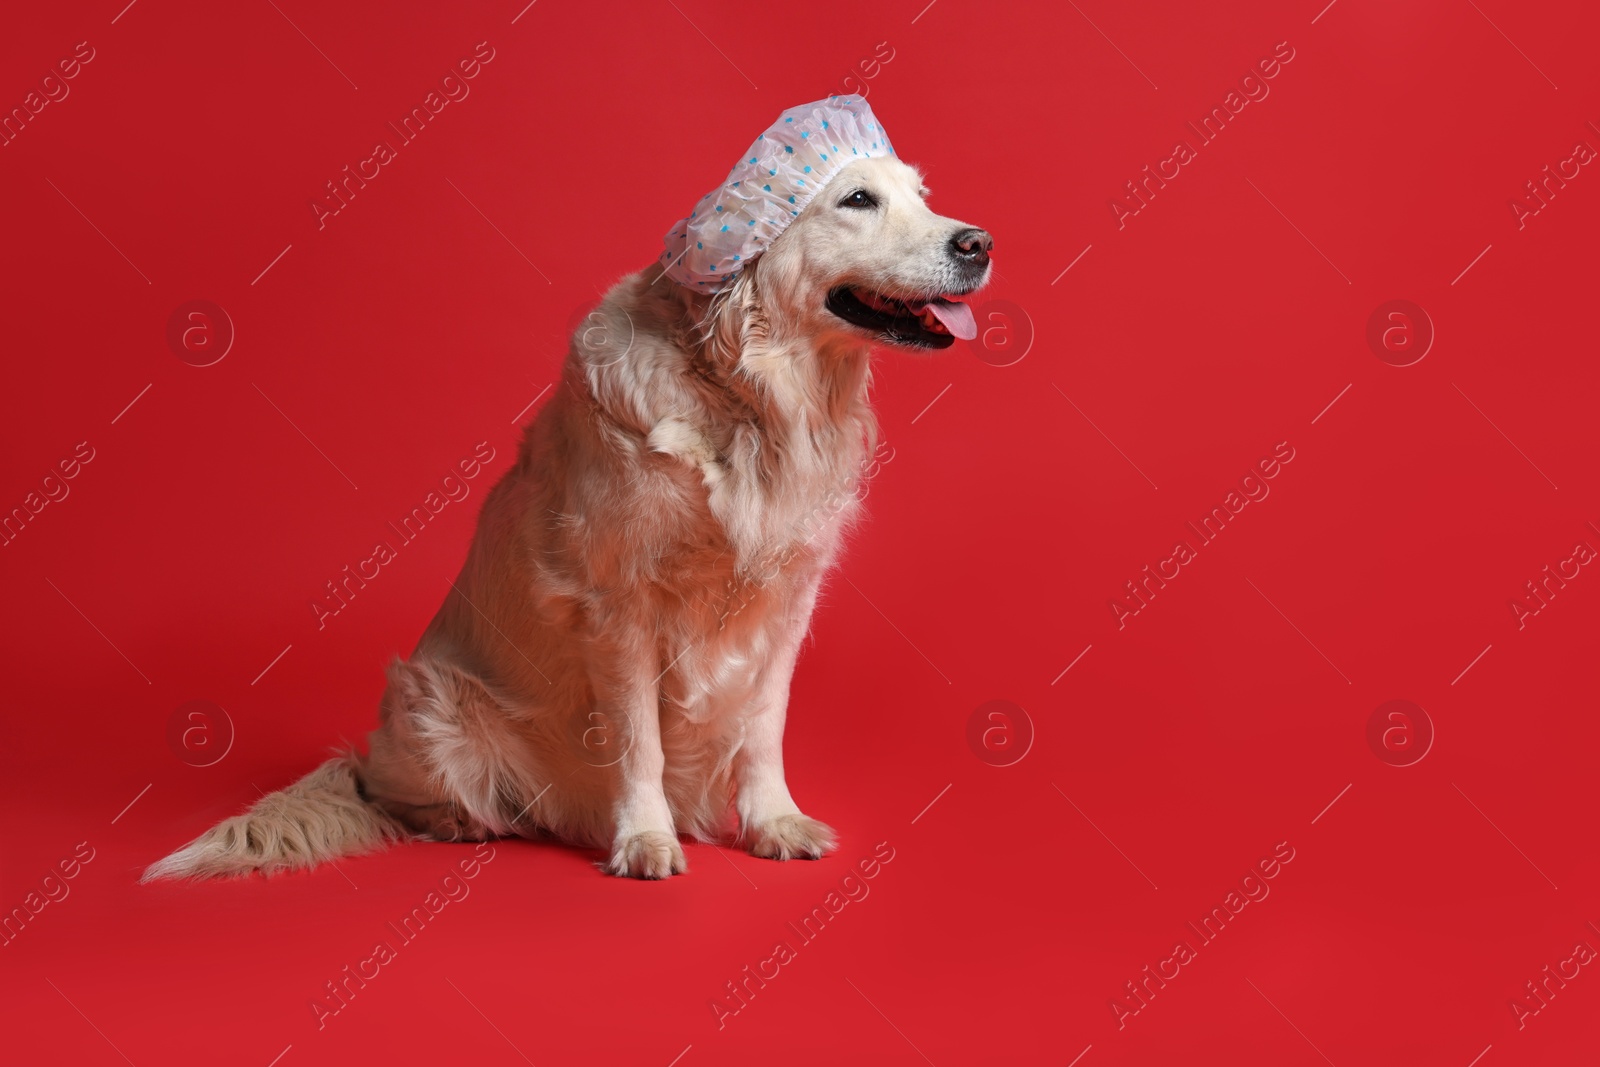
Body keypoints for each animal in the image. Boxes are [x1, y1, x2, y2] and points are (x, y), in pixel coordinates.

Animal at [140, 139, 985, 883]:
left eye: (922, 195)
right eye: (857, 200)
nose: (979, 243)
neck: (755, 397)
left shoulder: (785, 599)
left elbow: (761, 725)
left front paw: (773, 820)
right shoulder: (620, 605)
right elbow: (640, 739)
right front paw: (644, 838)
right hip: (430, 698)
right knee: (389, 793)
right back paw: (464, 819)